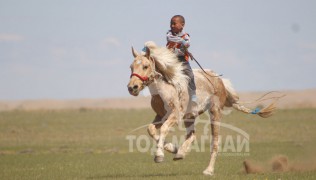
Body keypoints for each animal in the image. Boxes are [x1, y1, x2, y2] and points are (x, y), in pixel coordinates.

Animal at [127, 41, 276, 175]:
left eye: (145, 66)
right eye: (131, 67)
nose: (132, 87)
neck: (166, 88)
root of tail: (219, 80)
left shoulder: (175, 115)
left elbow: (163, 129)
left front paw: (159, 155)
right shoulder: (161, 116)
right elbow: (151, 129)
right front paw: (172, 148)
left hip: (215, 112)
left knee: (214, 143)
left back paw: (208, 170)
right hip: (190, 116)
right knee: (192, 135)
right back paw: (180, 153)